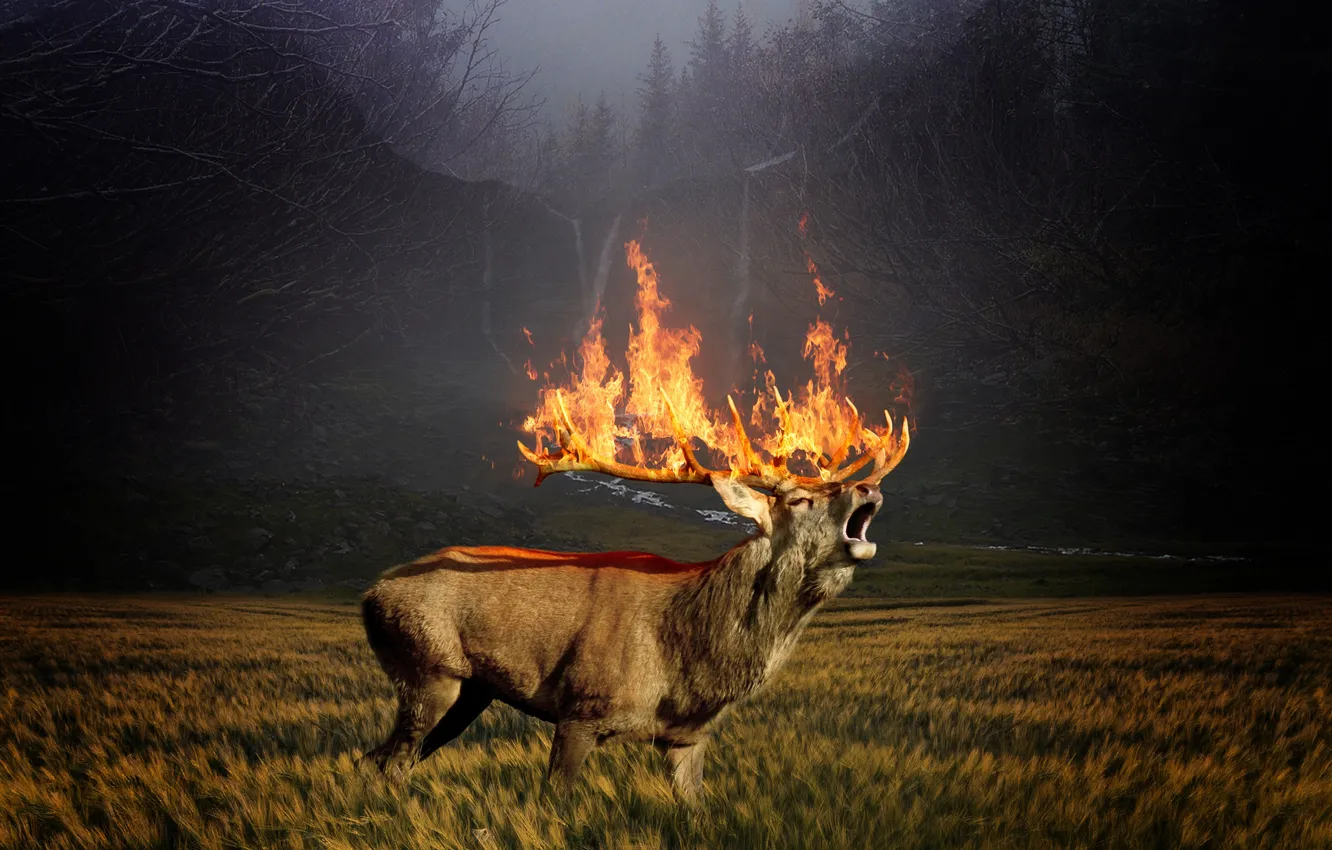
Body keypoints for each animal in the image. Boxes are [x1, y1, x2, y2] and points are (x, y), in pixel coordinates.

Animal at [360, 393, 909, 803]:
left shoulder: (687, 737)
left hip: (470, 692)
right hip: (427, 670)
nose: (868, 488)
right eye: (798, 499)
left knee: (376, 759)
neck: (687, 657)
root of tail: (370, 593)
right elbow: (555, 802)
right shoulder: (581, 707)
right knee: (389, 762)